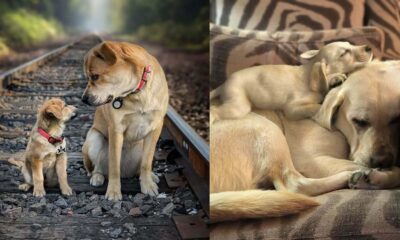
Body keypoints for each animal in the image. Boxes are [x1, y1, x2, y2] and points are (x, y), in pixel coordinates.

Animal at [81, 41, 169, 201]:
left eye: (95, 76)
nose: (83, 99)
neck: (138, 92)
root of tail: (126, 172)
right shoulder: (116, 129)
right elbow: (114, 165)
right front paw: (114, 191)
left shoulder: (155, 128)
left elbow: (146, 163)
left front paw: (147, 185)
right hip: (94, 137)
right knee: (98, 168)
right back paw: (97, 177)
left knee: (140, 168)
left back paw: (151, 176)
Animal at [209, 61, 400, 222]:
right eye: (359, 121)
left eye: (396, 120)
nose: (382, 161)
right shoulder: (315, 159)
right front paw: (377, 175)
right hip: (264, 128)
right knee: (296, 185)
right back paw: (354, 176)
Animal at [211, 41, 374, 123]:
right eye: (344, 53)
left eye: (350, 44)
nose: (369, 47)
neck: (310, 72)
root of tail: (223, 84)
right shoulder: (291, 108)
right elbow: (315, 107)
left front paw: (335, 79)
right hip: (239, 106)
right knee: (215, 111)